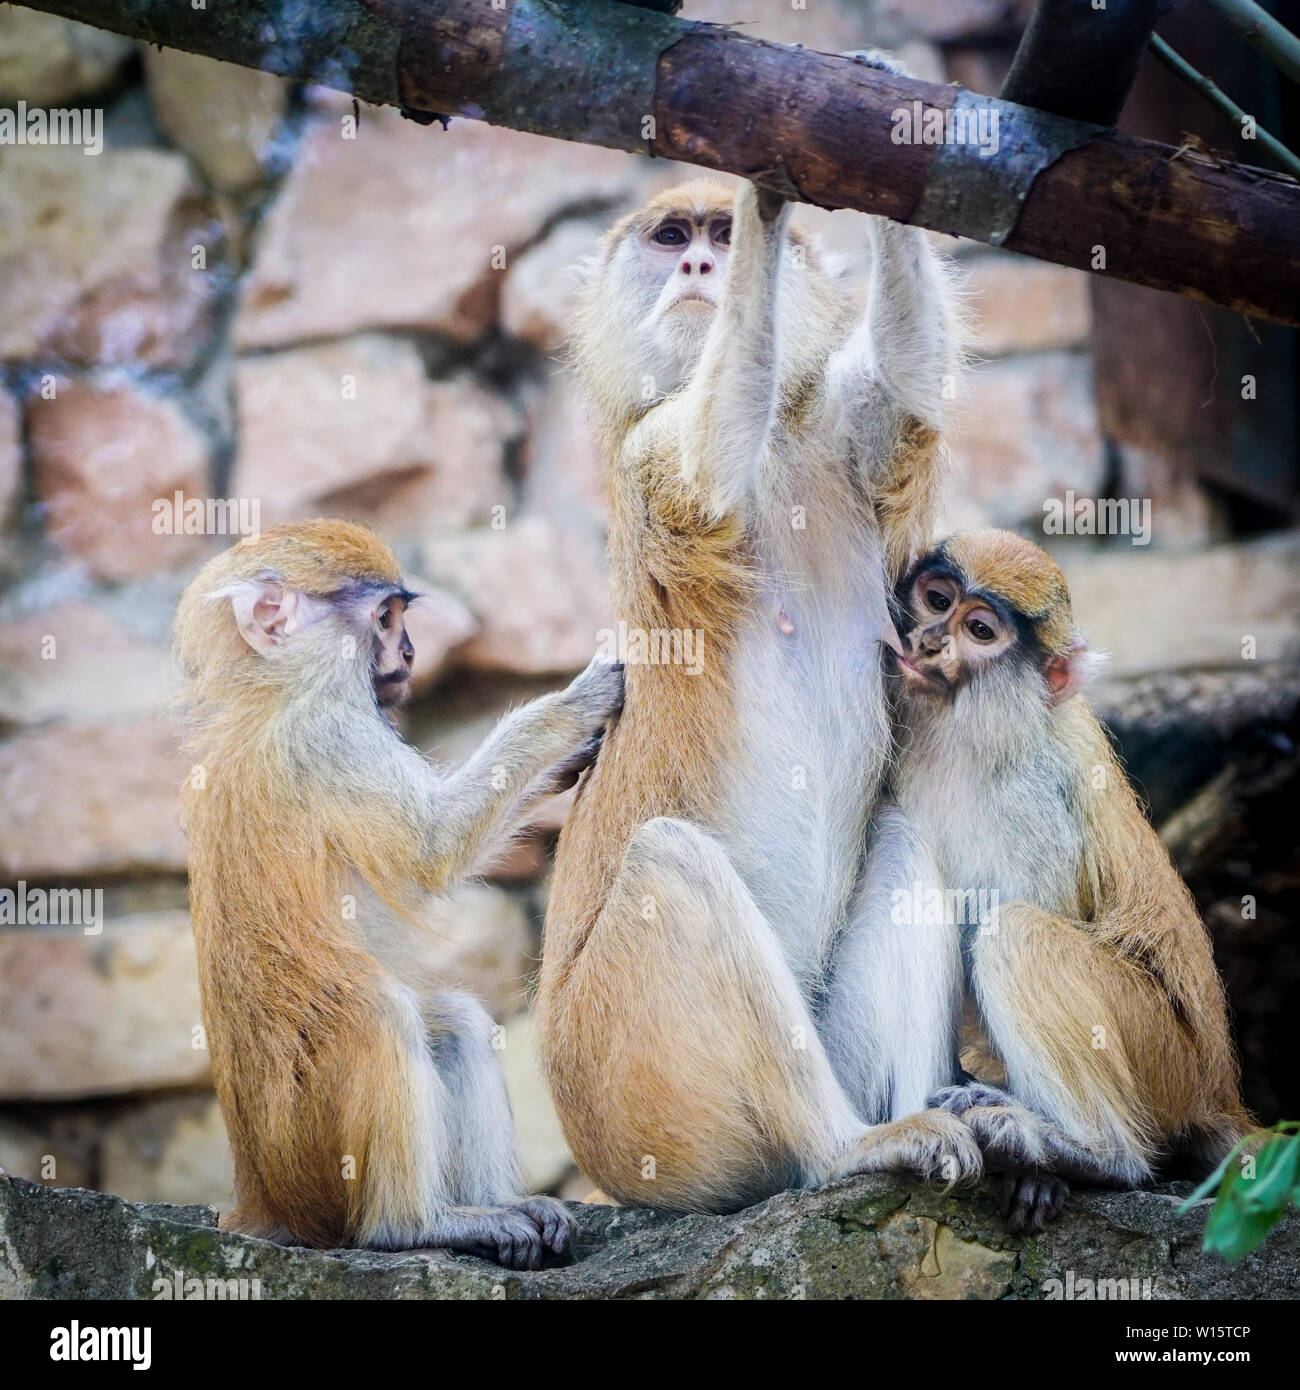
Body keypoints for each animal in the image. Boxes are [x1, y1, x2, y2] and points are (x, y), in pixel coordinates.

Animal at [172, 519, 624, 1267]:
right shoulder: (332, 736)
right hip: (314, 1155)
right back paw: (416, 1225)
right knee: (379, 1013)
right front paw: (576, 706)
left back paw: (498, 1204)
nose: (409, 651)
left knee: (453, 1023)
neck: (276, 690)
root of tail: (265, 1201)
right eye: (385, 618)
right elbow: (429, 849)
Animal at [536, 51, 977, 1214]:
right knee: (672, 868)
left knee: (904, 834)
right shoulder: (651, 458)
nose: (702, 260)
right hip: (640, 1094)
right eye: (668, 236)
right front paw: (765, 194)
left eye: (704, 239)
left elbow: (903, 387)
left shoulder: (834, 435)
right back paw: (844, 1147)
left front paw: (887, 110)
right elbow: (708, 450)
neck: (784, 446)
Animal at [878, 527, 1251, 1232]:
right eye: (937, 599)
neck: (968, 729)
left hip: (1161, 1053)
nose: (930, 640)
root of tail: (1214, 1087)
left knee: (1018, 933)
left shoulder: (1036, 802)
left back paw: (1087, 1152)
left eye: (979, 629)